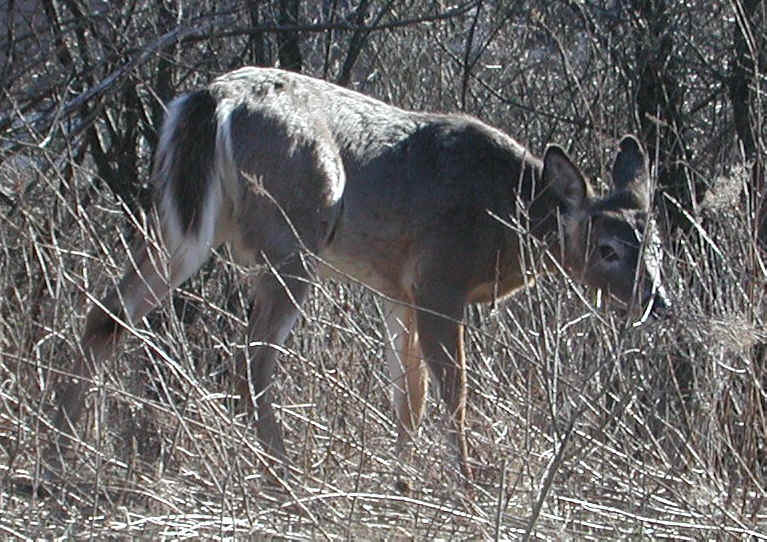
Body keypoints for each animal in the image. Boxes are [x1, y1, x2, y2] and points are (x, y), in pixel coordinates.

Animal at [49, 67, 669, 488]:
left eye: (659, 245)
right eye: (608, 249)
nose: (657, 302)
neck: (509, 216)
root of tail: (212, 97)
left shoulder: (398, 291)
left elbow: (409, 396)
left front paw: (403, 484)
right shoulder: (439, 280)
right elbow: (454, 393)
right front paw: (467, 487)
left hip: (182, 222)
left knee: (107, 312)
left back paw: (63, 452)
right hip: (296, 226)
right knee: (253, 358)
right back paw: (286, 484)